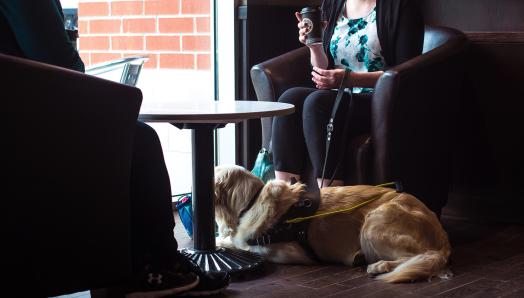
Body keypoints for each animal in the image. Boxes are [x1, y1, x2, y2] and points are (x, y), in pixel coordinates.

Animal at [215, 164, 452, 282]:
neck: (252, 200)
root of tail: (442, 238)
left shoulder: (282, 251)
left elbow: (239, 244)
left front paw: (222, 241)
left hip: (374, 221)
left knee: (417, 257)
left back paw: (379, 265)